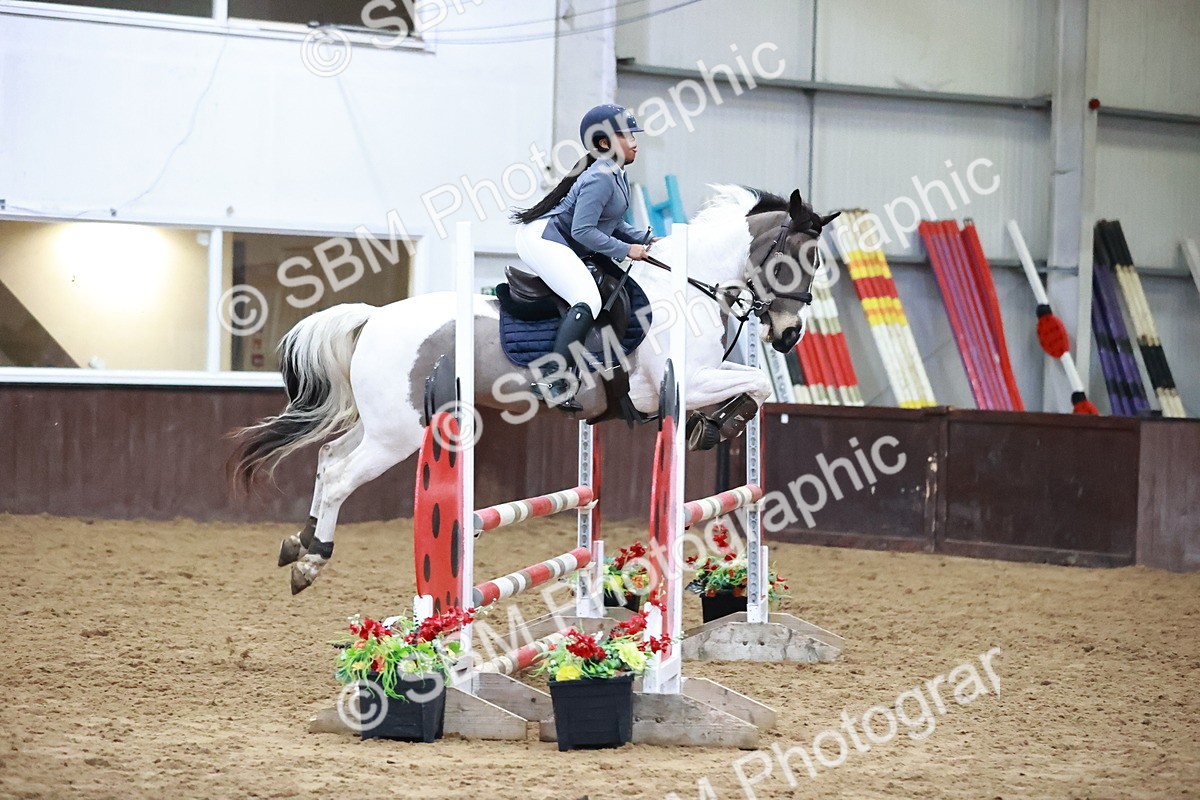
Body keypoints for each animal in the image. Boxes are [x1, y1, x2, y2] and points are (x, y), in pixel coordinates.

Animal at [229, 185, 838, 593]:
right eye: (801, 259)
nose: (788, 336)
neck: (686, 290)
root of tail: (374, 318)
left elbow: (753, 385)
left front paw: (713, 425)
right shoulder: (680, 382)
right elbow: (756, 383)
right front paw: (719, 425)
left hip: (382, 425)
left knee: (328, 459)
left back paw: (299, 542)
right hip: (396, 434)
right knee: (339, 478)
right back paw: (312, 559)